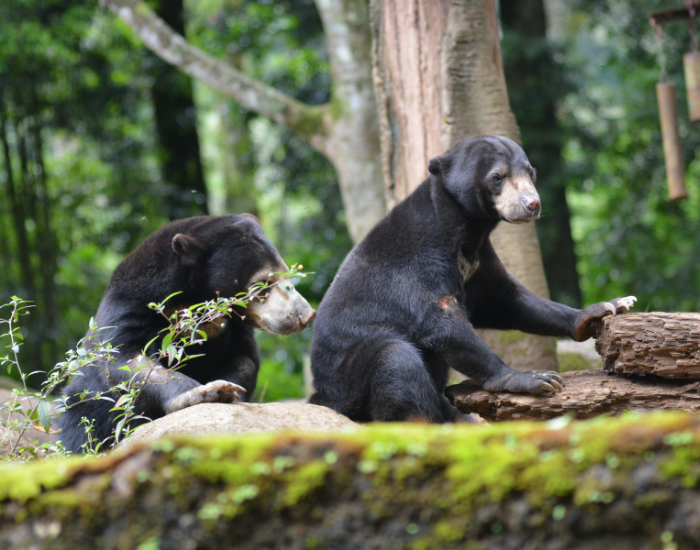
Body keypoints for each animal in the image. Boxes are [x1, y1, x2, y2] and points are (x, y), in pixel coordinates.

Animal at [58, 214, 316, 453]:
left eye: (287, 273)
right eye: (260, 285)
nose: (305, 315)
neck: (194, 299)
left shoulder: (233, 327)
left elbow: (243, 358)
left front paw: (230, 392)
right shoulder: (131, 304)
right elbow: (124, 359)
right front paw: (206, 391)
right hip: (84, 405)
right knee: (78, 431)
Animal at [309, 135, 635, 423]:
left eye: (530, 172)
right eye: (497, 177)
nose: (532, 204)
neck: (469, 230)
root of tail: (322, 396)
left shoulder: (480, 264)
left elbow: (506, 302)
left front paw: (607, 307)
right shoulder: (419, 260)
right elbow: (440, 319)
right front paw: (534, 378)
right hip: (348, 378)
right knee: (395, 360)